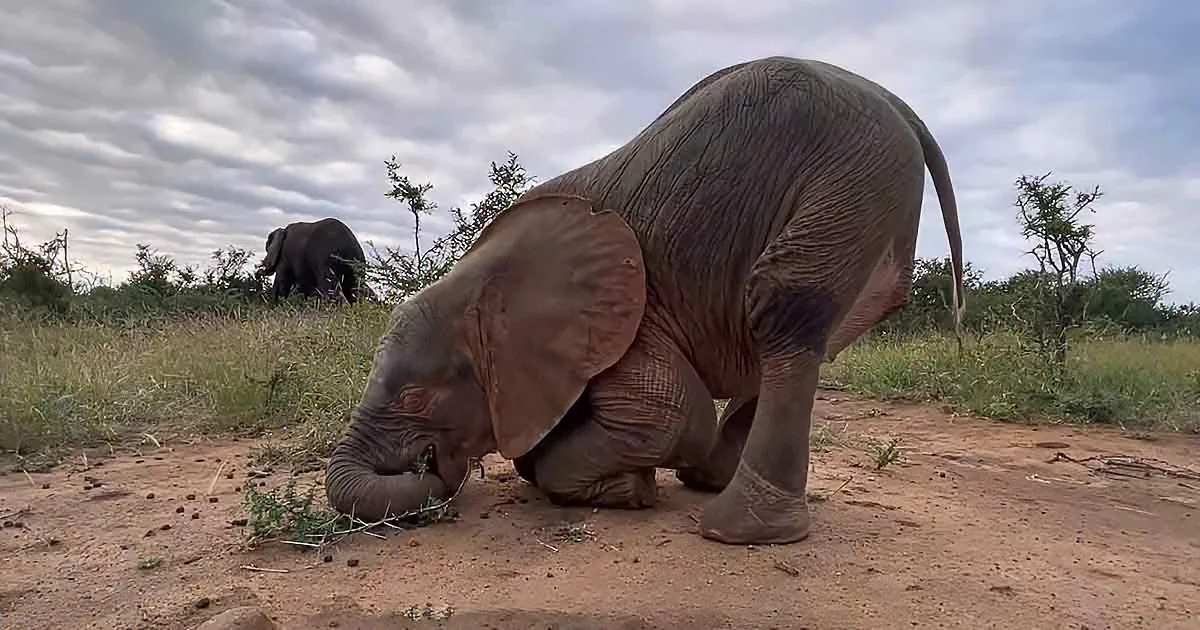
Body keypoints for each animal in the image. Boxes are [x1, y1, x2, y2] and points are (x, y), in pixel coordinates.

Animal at [323, 56, 966, 546]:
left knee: (785, 306)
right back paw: (708, 482)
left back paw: (737, 530)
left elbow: (672, 414)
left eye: (415, 396)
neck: (483, 278)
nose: (430, 473)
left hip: (854, 174)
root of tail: (888, 96)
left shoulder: (629, 326)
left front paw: (633, 491)